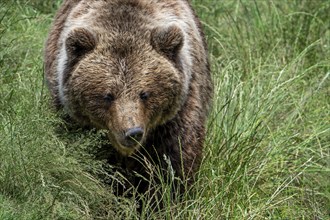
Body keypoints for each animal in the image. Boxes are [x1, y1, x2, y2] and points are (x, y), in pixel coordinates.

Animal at [43, 0, 213, 197]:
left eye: (144, 94)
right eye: (108, 95)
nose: (132, 132)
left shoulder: (179, 110)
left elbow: (175, 157)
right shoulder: (72, 116)